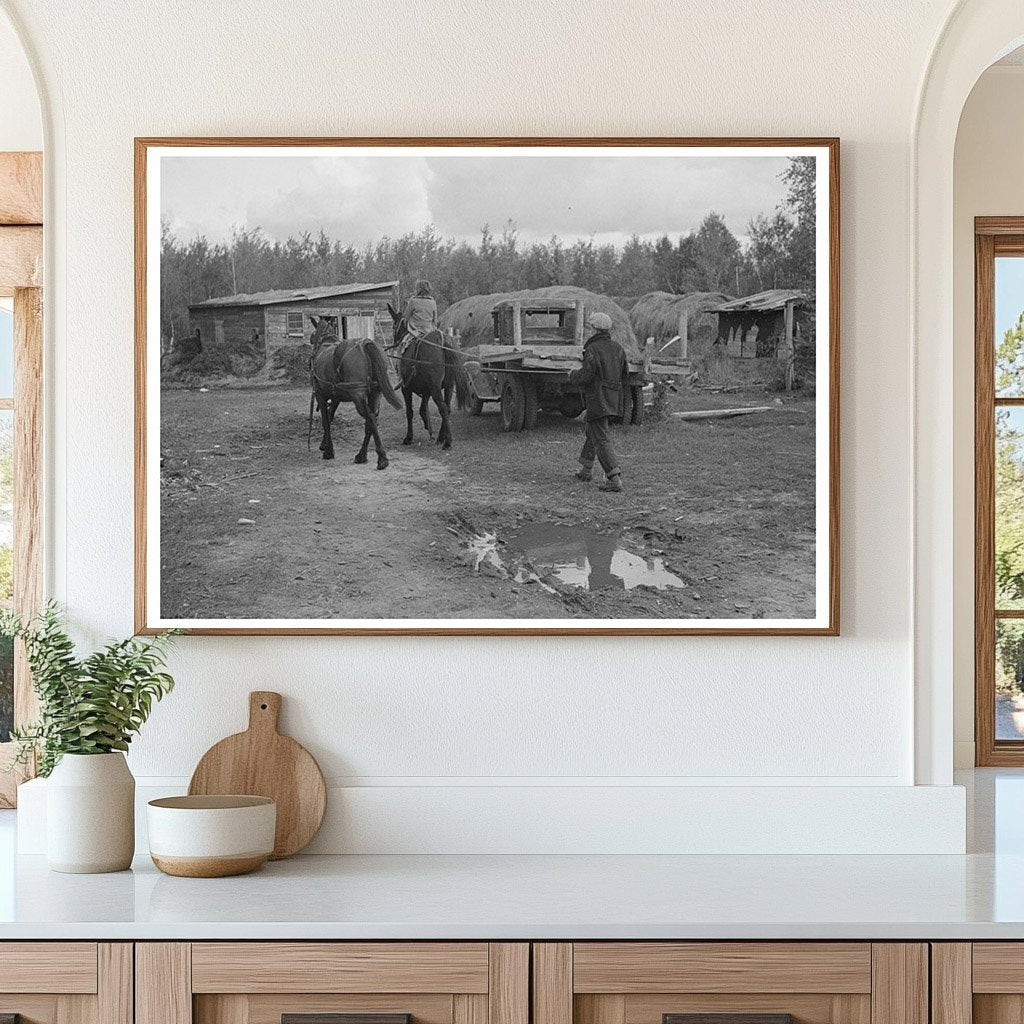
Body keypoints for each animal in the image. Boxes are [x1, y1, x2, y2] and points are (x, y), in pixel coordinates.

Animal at [311, 321, 403, 466]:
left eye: (313, 334)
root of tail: (364, 343)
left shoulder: (320, 395)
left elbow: (325, 420)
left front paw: (328, 451)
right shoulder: (336, 397)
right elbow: (330, 416)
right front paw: (324, 444)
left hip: (358, 397)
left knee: (370, 418)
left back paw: (382, 458)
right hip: (375, 393)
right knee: (372, 420)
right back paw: (362, 455)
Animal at [387, 301, 471, 450]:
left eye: (393, 326)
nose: (395, 340)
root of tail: (442, 340)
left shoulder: (406, 388)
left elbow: (410, 412)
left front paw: (409, 437)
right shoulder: (426, 390)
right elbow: (422, 409)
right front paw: (428, 427)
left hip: (435, 388)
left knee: (443, 408)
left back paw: (447, 441)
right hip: (448, 386)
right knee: (447, 408)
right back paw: (441, 437)